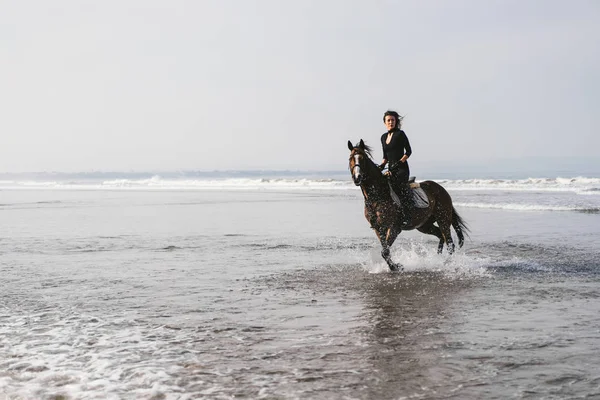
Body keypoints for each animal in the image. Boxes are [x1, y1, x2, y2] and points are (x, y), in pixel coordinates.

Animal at [346, 140, 468, 272]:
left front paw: (395, 267)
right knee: (441, 235)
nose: (357, 178)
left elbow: (385, 251)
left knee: (450, 243)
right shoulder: (378, 229)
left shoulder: (394, 227)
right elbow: (385, 250)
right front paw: (395, 266)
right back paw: (438, 258)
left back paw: (445, 264)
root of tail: (442, 190)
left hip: (443, 219)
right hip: (424, 225)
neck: (377, 196)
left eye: (363, 159)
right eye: (350, 158)